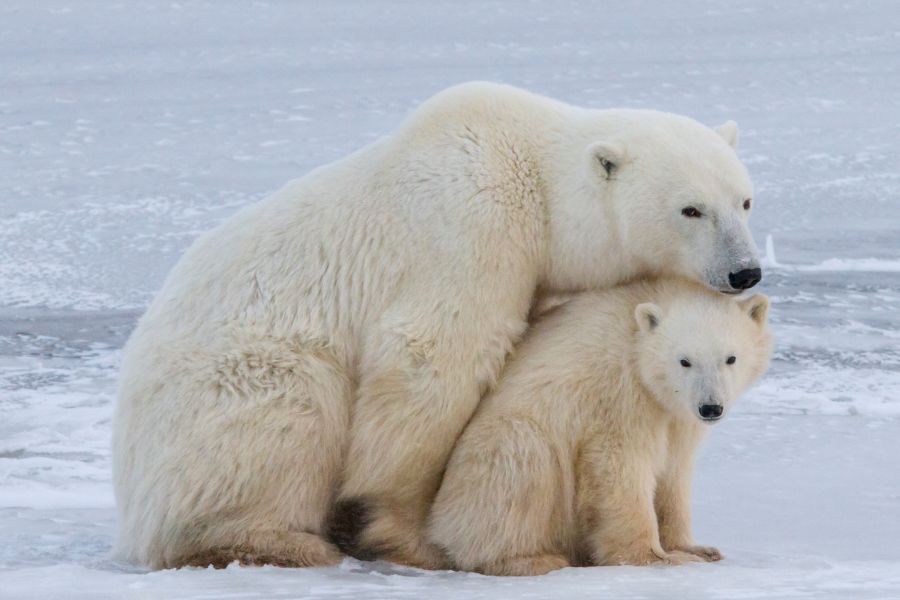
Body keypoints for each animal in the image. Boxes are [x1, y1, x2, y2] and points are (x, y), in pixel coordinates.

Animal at [428, 278, 772, 576]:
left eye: (730, 358)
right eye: (684, 360)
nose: (711, 407)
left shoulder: (677, 416)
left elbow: (674, 471)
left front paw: (696, 548)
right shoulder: (620, 393)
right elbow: (619, 467)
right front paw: (655, 558)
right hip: (490, 460)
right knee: (523, 464)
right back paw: (533, 559)